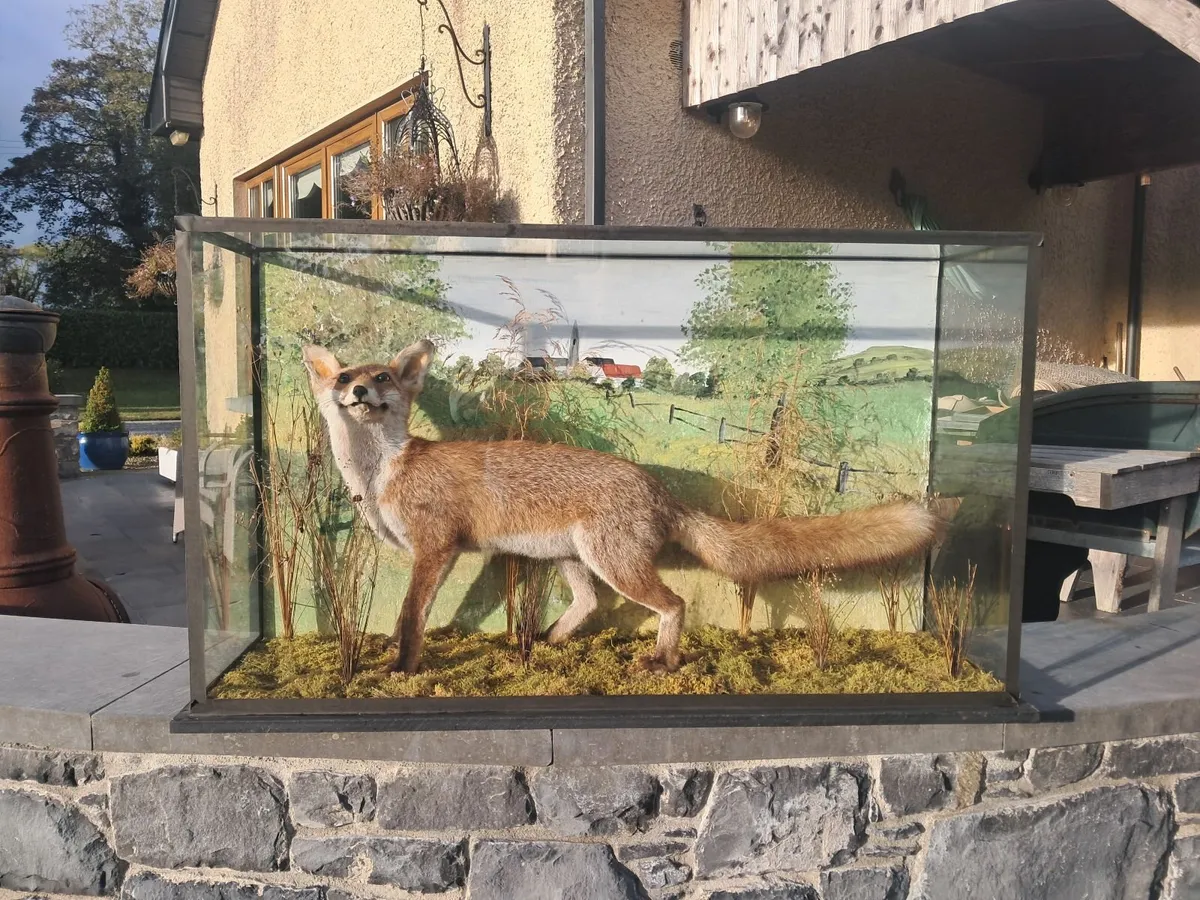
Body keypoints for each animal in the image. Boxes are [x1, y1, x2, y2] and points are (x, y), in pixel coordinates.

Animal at [302, 339, 939, 675]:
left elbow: (412, 615)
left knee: (673, 603)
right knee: (588, 604)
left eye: (384, 378)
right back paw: (548, 643)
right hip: (574, 560)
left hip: (615, 563)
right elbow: (407, 617)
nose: (357, 391)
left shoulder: (436, 548)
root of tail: (659, 488)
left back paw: (661, 661)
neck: (381, 475)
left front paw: (400, 669)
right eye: (347, 376)